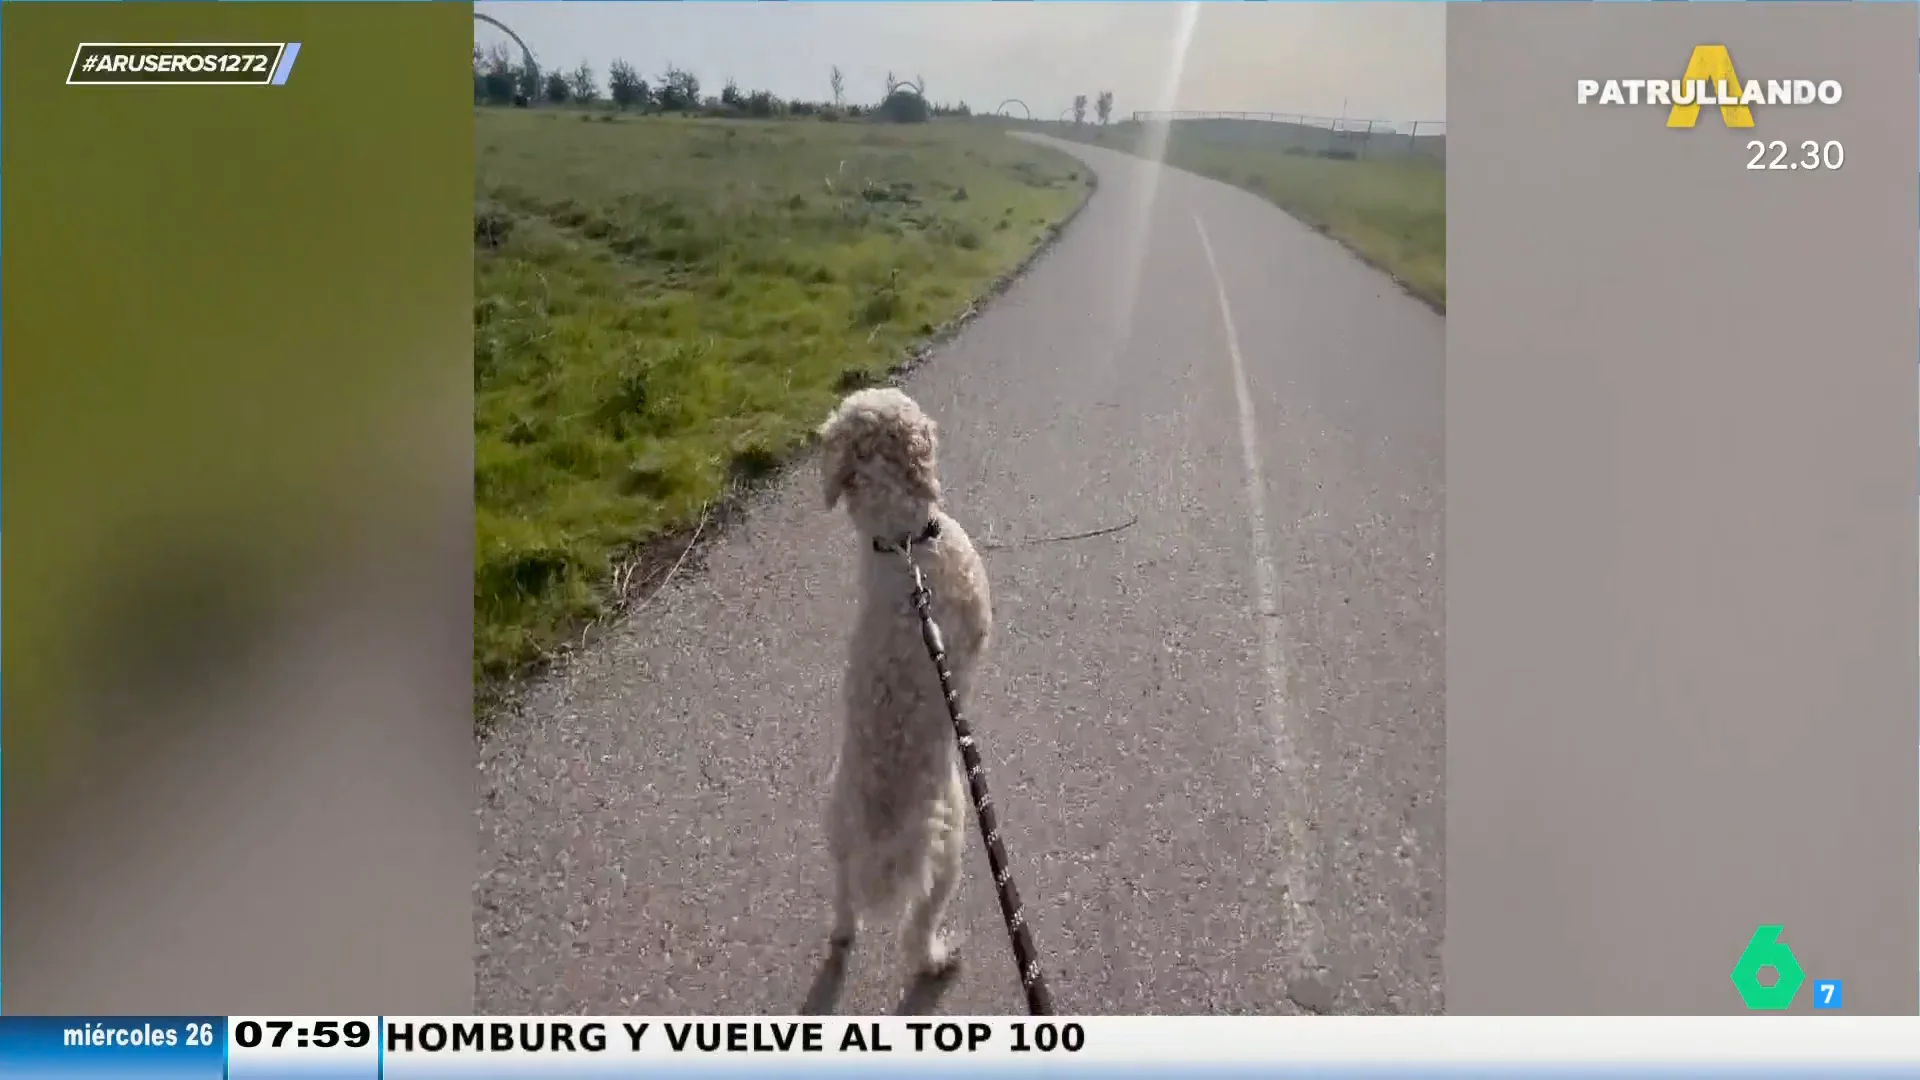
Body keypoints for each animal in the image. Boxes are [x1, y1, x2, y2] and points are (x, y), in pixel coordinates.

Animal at [814, 388, 990, 983]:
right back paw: (939, 958)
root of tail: (880, 843)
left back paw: (843, 932)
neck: (901, 542)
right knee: (918, 931)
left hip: (837, 832)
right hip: (950, 843)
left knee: (844, 901)